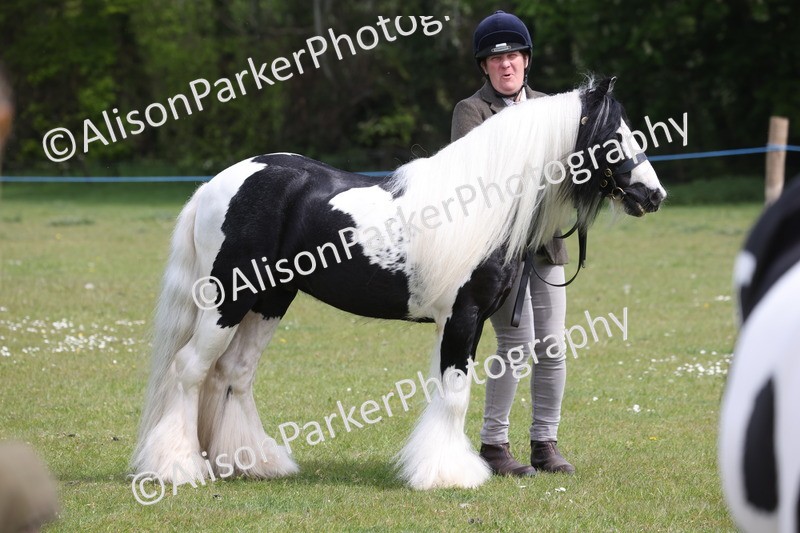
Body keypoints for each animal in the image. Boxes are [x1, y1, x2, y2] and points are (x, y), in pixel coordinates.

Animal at [131, 77, 666, 490]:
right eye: (615, 135)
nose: (653, 195)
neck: (484, 205)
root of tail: (217, 184)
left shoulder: (470, 320)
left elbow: (452, 393)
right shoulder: (462, 316)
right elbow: (455, 394)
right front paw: (449, 475)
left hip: (269, 301)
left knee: (233, 374)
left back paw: (252, 463)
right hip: (228, 298)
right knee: (190, 369)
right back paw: (178, 468)